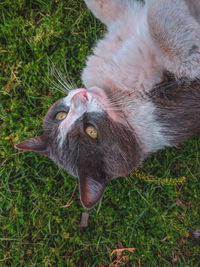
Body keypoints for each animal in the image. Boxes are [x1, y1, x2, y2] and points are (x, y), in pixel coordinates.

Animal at [15, 0, 200, 209]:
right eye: (91, 131)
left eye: (59, 115)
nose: (80, 96)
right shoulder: (183, 81)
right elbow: (162, 27)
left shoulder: (126, 20)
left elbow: (106, 7)